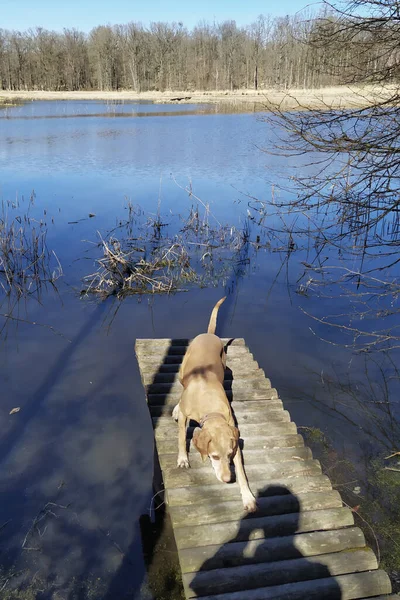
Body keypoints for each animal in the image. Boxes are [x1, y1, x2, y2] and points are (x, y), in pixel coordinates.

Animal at [172, 296, 256, 510]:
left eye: (229, 455)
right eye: (215, 456)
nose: (227, 480)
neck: (211, 408)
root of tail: (208, 334)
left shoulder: (234, 437)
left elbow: (242, 471)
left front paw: (248, 497)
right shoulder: (186, 415)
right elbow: (181, 437)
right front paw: (183, 459)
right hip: (182, 372)